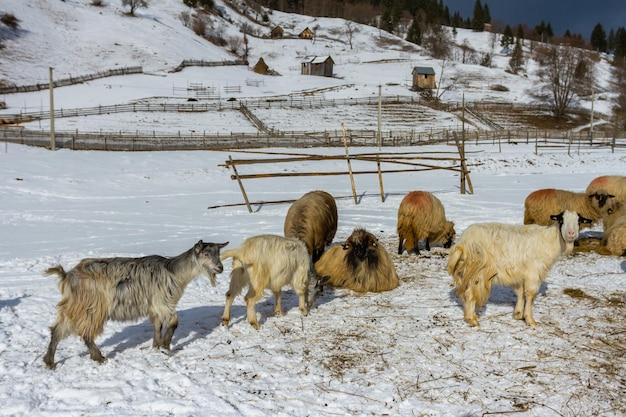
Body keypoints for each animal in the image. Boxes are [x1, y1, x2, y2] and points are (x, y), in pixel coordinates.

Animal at [446, 210, 588, 326]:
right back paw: (472, 320)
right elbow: (530, 294)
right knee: (470, 293)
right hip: (478, 272)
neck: (551, 239)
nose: (571, 233)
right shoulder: (533, 272)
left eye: (579, 221)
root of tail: (463, 243)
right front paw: (530, 320)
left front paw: (518, 314)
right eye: (561, 220)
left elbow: (520, 293)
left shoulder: (519, 273)